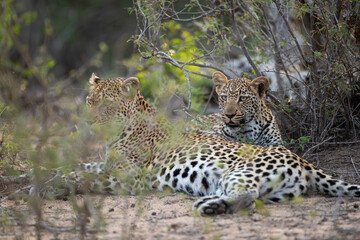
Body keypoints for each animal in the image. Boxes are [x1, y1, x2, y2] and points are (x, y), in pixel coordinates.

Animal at [35, 73, 360, 216]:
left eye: (107, 106)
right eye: (90, 102)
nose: (86, 124)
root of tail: (303, 162)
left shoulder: (125, 176)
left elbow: (77, 176)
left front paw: (41, 186)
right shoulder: (103, 163)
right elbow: (74, 168)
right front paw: (33, 176)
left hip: (239, 172)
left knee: (247, 195)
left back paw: (208, 206)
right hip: (273, 190)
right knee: (252, 198)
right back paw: (212, 203)